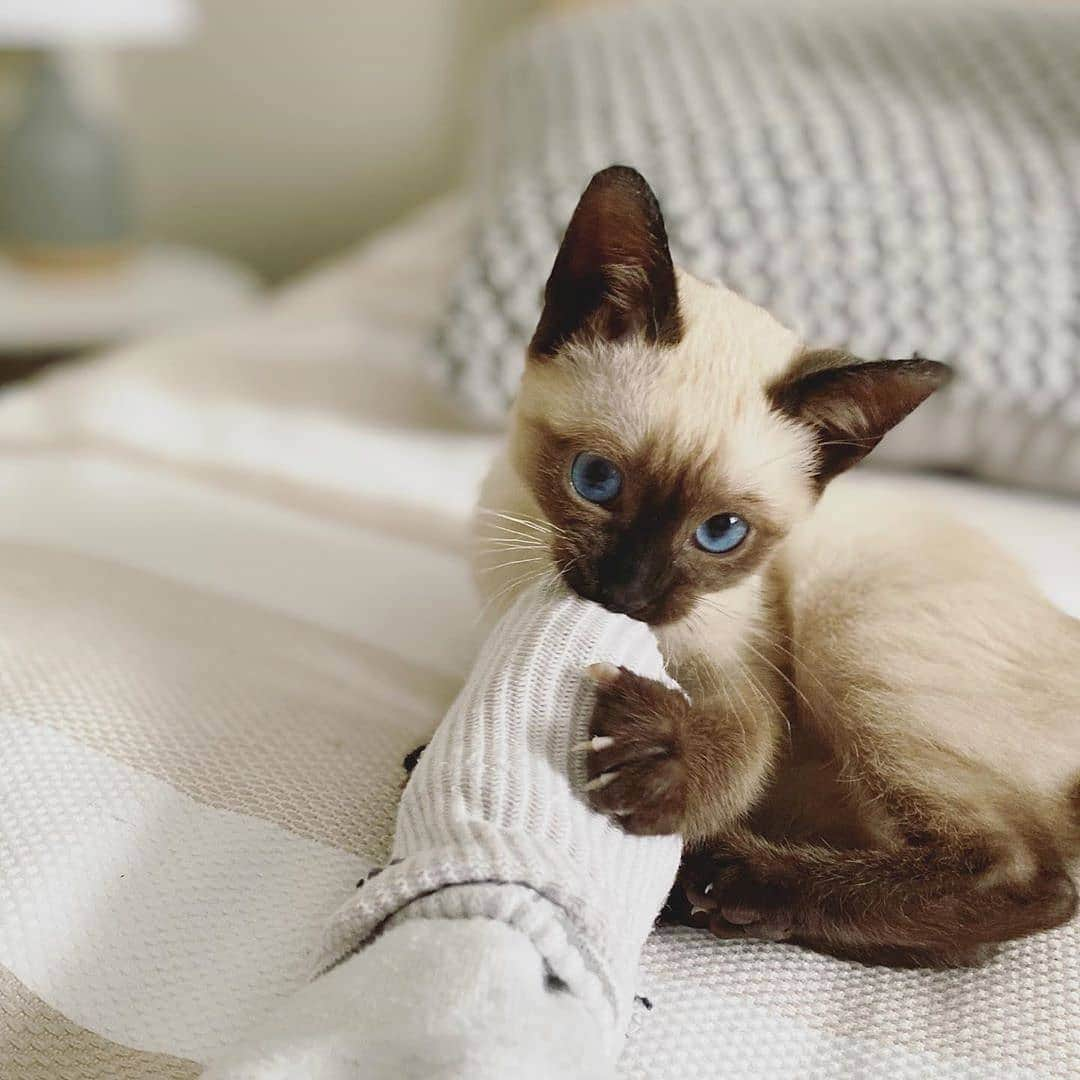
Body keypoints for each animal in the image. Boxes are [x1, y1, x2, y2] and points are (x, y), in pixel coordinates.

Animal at [479, 164, 1080, 967]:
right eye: (596, 480)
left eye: (722, 532)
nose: (626, 593)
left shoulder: (743, 670)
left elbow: (746, 742)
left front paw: (661, 759)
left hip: (846, 629)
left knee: (1032, 876)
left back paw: (733, 882)